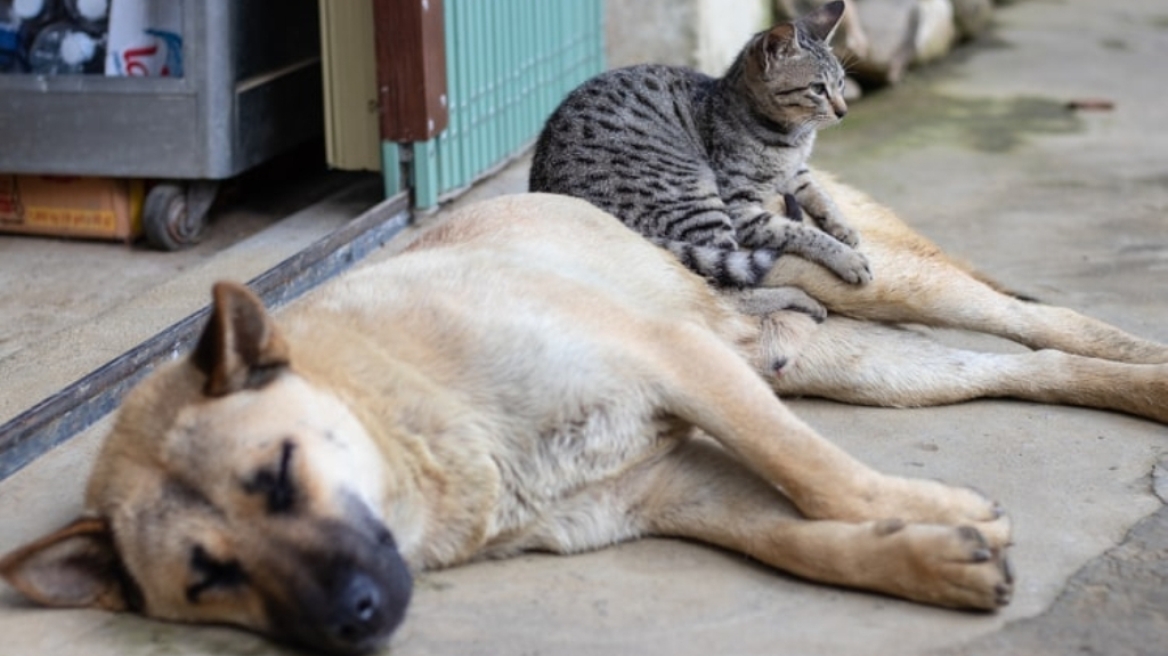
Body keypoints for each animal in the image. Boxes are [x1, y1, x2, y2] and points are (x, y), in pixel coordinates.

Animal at [0, 180, 1163, 648]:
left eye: (277, 476)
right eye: (208, 578)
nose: (353, 621)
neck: (412, 416)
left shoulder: (678, 364)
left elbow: (815, 473)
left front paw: (928, 509)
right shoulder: (671, 488)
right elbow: (800, 539)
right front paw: (928, 552)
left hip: (880, 290)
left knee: (1043, 320)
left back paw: (1145, 365)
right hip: (864, 365)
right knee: (1026, 367)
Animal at [530, 0, 868, 285]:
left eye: (840, 83)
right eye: (818, 89)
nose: (843, 111)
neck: (792, 139)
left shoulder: (797, 172)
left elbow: (822, 195)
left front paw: (845, 228)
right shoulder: (739, 206)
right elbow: (799, 232)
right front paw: (846, 257)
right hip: (697, 199)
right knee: (730, 278)